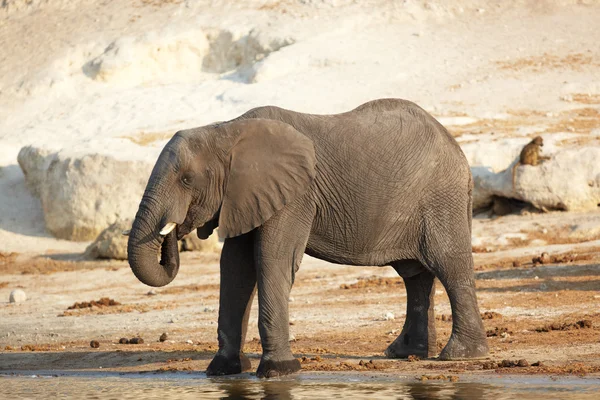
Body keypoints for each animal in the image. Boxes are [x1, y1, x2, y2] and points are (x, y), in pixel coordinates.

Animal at [126, 97, 488, 378]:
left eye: (187, 180)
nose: (174, 232)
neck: (227, 130)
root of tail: (458, 150)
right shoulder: (246, 196)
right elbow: (235, 269)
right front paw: (222, 371)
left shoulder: (294, 196)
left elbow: (272, 260)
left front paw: (278, 372)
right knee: (416, 275)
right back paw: (405, 353)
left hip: (440, 198)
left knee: (449, 265)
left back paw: (460, 355)